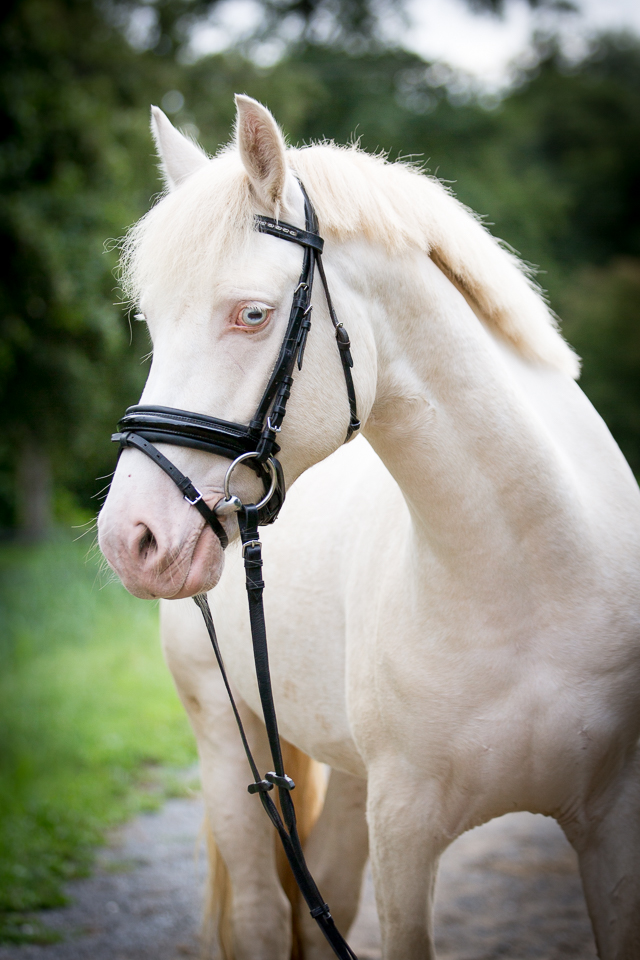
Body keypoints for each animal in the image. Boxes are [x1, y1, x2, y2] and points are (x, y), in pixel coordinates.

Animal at [97, 95, 640, 960]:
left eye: (252, 314)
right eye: (150, 322)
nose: (132, 540)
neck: (535, 578)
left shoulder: (614, 822)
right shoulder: (405, 831)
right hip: (226, 744)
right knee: (261, 918)